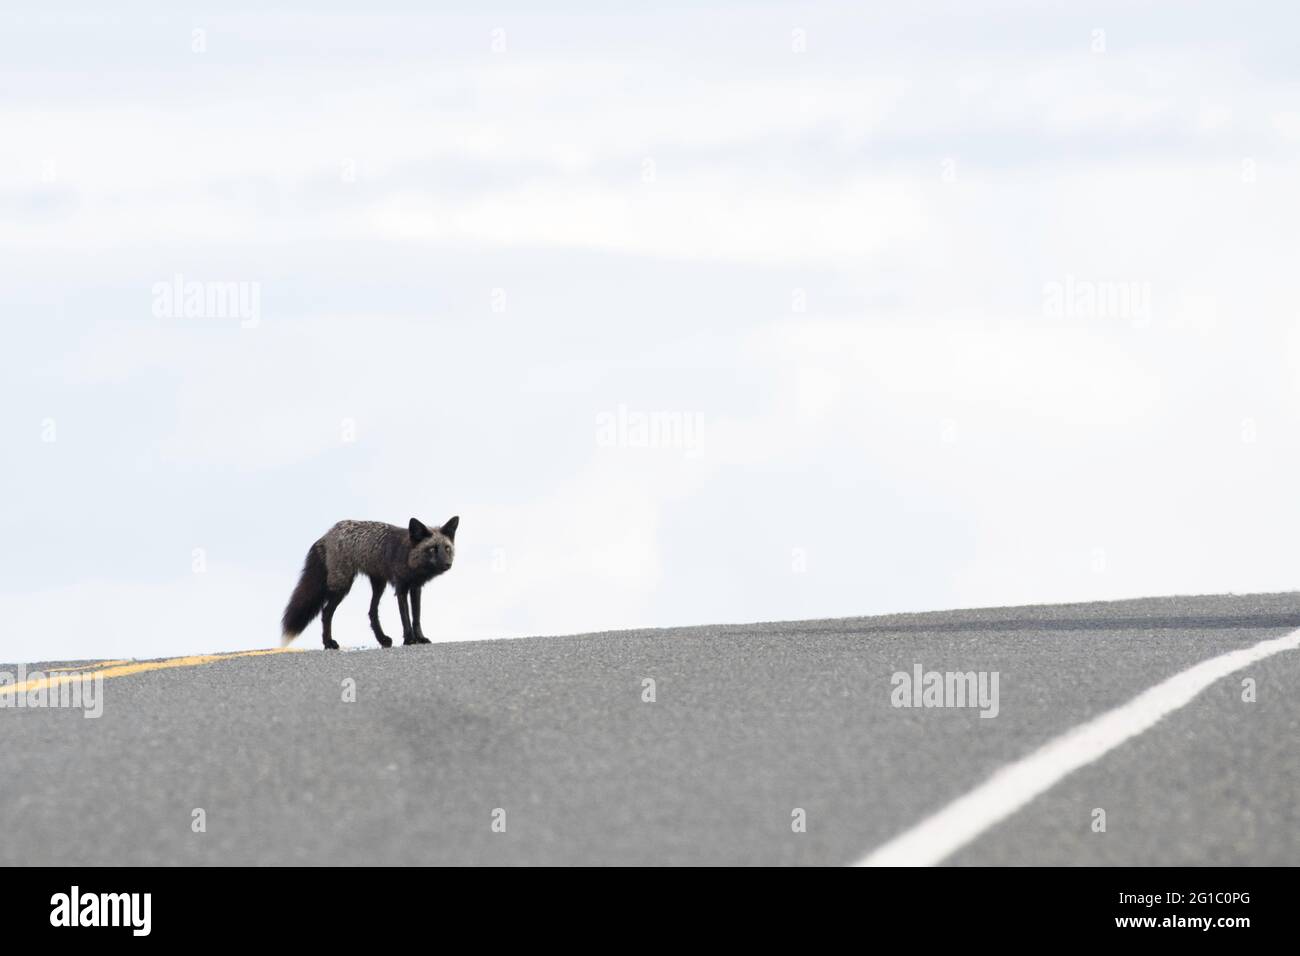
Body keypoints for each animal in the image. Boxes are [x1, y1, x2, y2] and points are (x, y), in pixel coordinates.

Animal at [279, 515, 457, 650]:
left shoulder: (416, 588)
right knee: (326, 612)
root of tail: (327, 534)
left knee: (371, 611)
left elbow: (416, 617)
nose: (448, 564)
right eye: (433, 549)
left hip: (378, 585)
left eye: (447, 548)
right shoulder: (400, 588)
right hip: (342, 586)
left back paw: (382, 639)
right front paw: (409, 640)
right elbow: (405, 617)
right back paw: (328, 643)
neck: (408, 556)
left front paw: (420, 638)